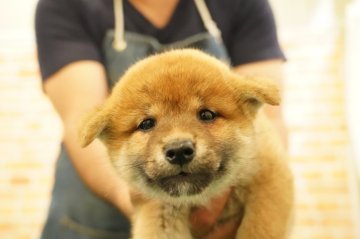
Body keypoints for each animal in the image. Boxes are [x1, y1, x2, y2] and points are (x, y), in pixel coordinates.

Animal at [79, 49, 292, 239]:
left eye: (206, 115)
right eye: (146, 124)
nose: (179, 150)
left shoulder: (268, 179)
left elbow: (259, 229)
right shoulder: (159, 212)